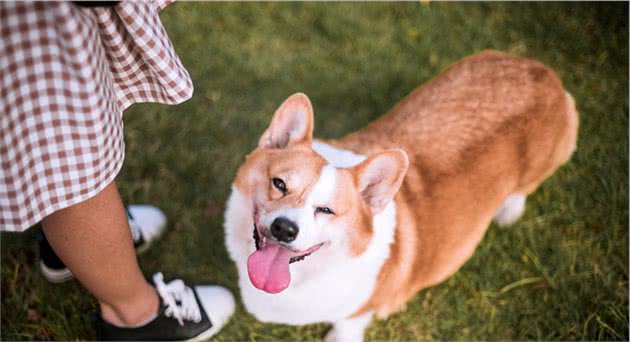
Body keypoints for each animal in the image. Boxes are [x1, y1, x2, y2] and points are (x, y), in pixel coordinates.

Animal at [225, 49, 580, 340]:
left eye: (326, 210)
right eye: (279, 184)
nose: (284, 229)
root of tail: (544, 72)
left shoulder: (359, 312)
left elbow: (347, 325)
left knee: (523, 190)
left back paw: (508, 213)